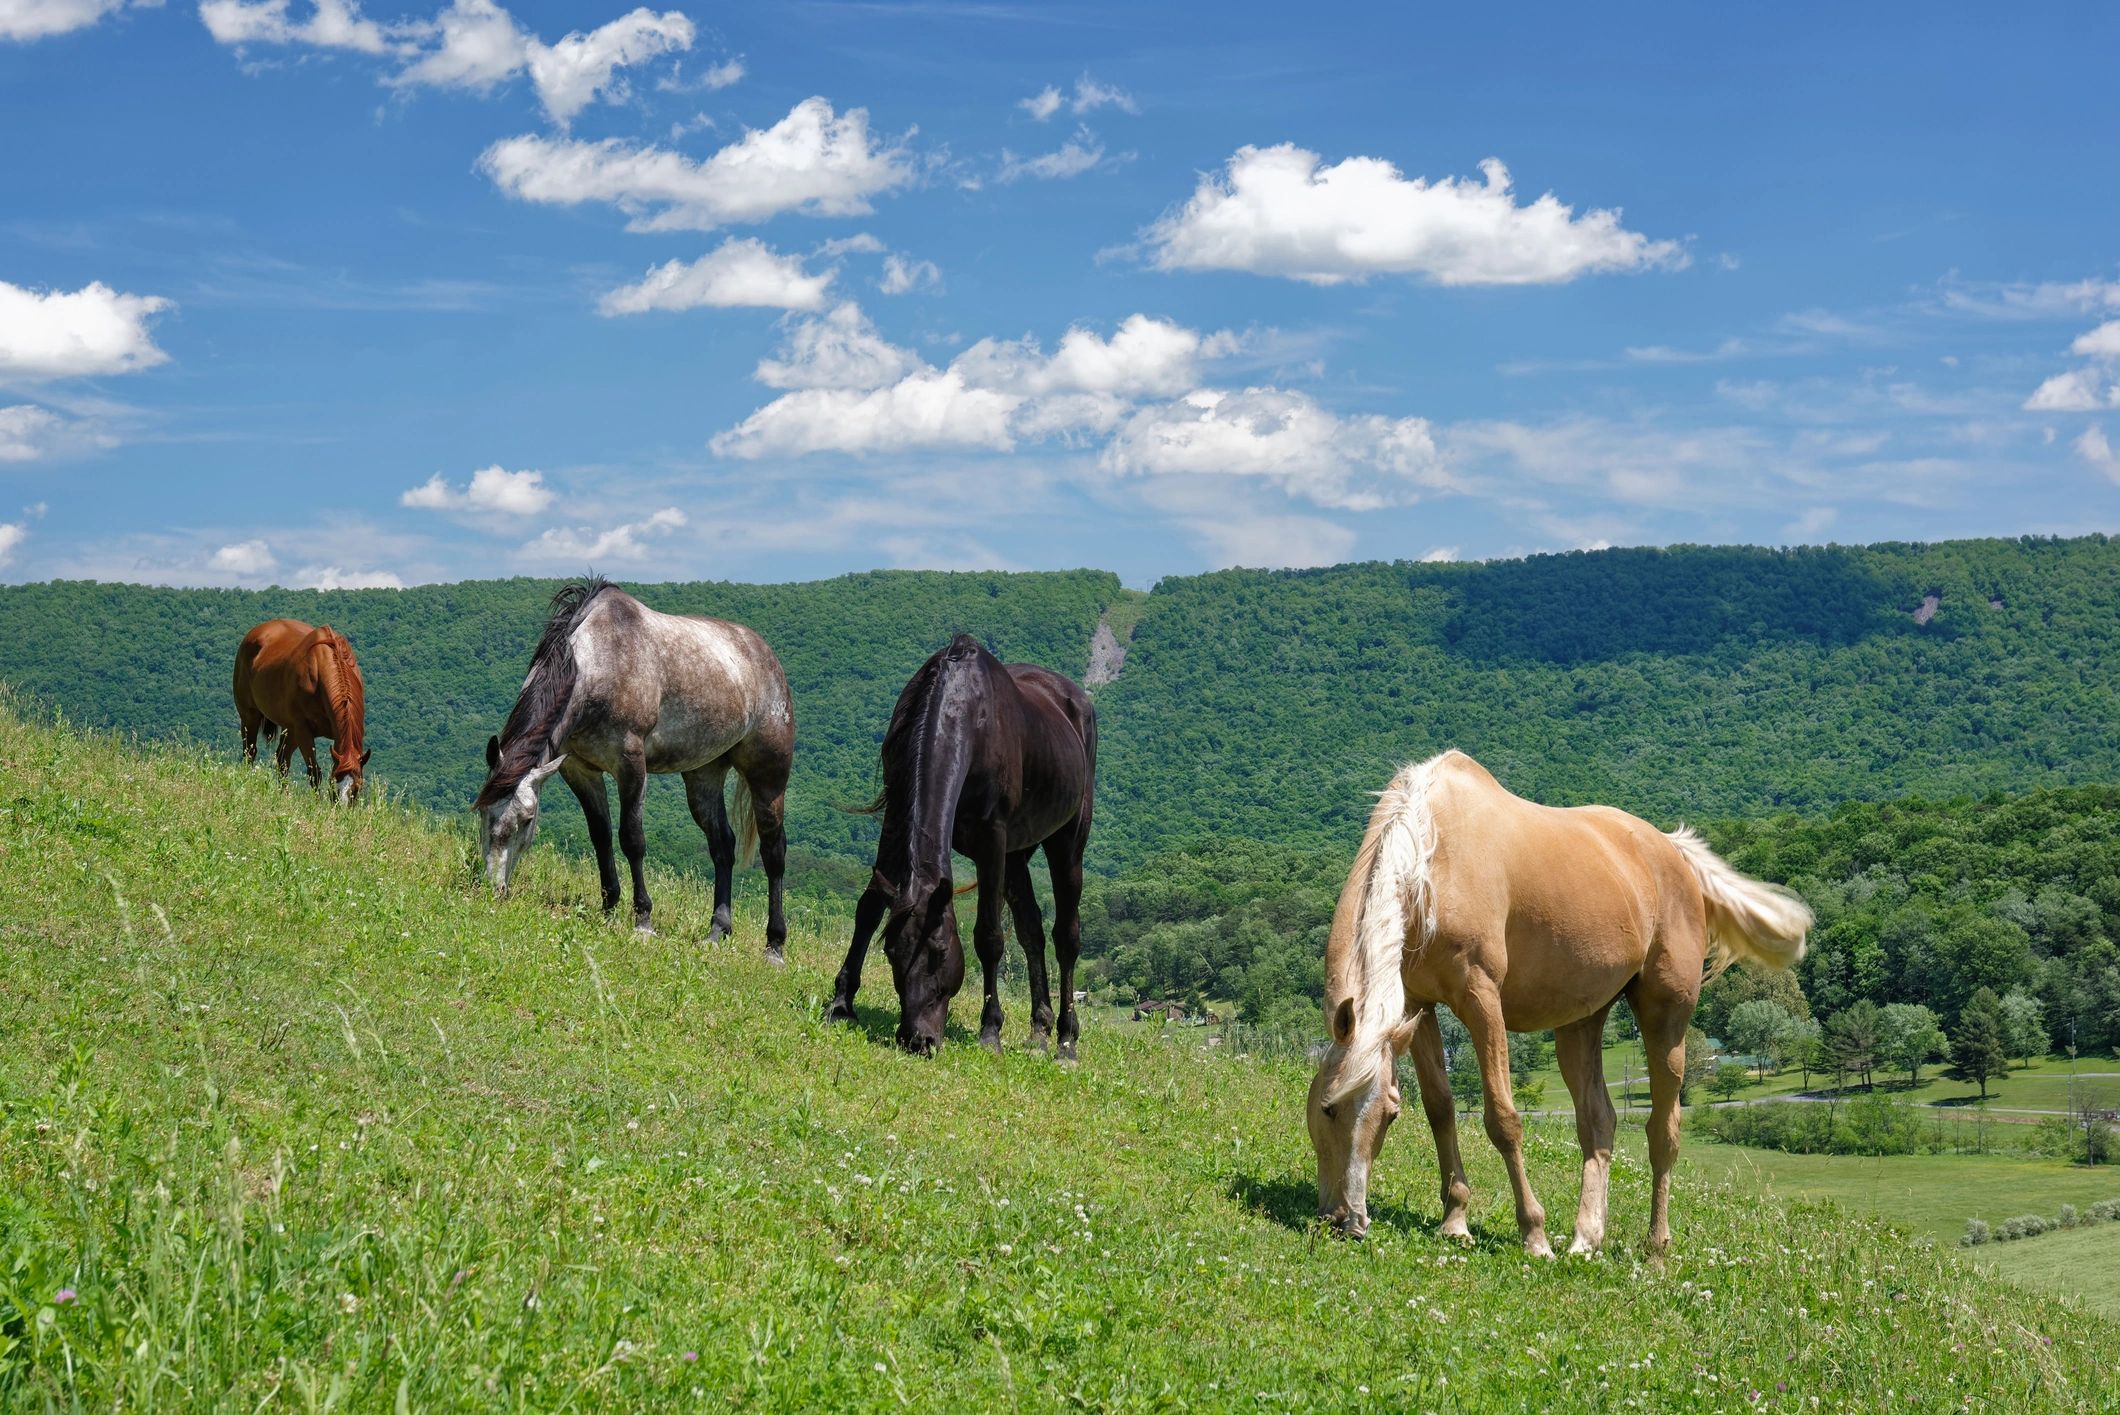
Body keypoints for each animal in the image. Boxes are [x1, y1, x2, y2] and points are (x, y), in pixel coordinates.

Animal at [233, 619, 371, 803]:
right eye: (333, 784)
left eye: (357, 788)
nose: (341, 808)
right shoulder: (303, 730)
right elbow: (314, 772)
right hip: (250, 716)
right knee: (250, 752)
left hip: (289, 729)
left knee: (282, 759)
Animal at [472, 577, 796, 957]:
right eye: (483, 814)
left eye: (526, 820)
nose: (493, 888)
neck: (601, 662)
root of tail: (766, 656)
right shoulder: (579, 770)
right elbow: (600, 835)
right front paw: (608, 906)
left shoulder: (630, 764)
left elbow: (632, 838)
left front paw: (643, 920)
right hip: (704, 775)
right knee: (722, 846)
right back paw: (717, 930)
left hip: (768, 777)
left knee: (773, 851)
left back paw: (774, 946)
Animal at [824, 634, 1095, 1058]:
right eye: (891, 953)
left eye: (938, 954)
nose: (917, 1039)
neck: (964, 714)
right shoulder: (896, 817)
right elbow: (869, 907)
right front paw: (841, 1004)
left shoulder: (992, 839)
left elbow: (989, 936)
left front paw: (990, 1032)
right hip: (1017, 854)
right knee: (1031, 930)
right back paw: (1039, 1031)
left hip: (1067, 842)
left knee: (1066, 936)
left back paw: (1066, 1041)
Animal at [1307, 750, 1810, 1257]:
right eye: (1327, 1107)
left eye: (1388, 1115)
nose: (1346, 1221)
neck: (1433, 861)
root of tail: (1671, 849)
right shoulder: (1419, 1007)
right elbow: (1441, 1109)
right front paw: (1455, 1220)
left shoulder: (1480, 999)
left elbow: (1503, 1119)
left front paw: (1534, 1234)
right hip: (1580, 1023)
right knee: (1598, 1122)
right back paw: (1586, 1237)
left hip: (1666, 1019)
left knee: (1663, 1133)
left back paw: (1655, 1246)